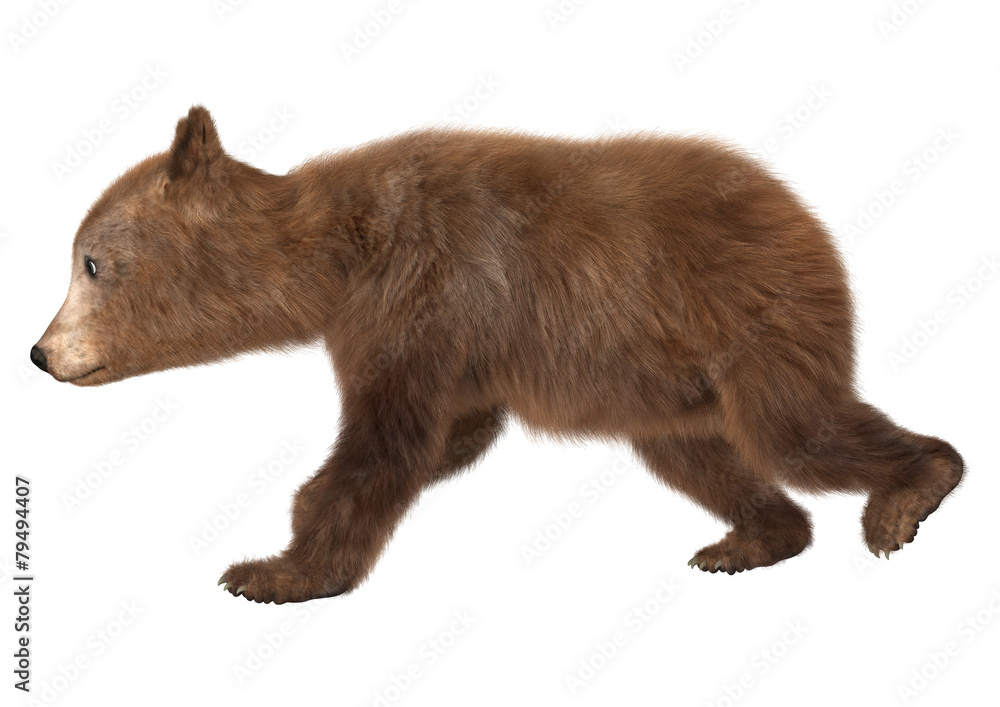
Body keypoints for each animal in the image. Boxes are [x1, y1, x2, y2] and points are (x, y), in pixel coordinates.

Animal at [31, 106, 963, 604]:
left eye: (91, 262)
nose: (41, 352)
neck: (336, 257)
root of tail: (809, 222)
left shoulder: (422, 288)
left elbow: (386, 442)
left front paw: (272, 569)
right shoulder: (449, 333)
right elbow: (453, 431)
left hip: (753, 321)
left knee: (797, 430)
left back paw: (910, 492)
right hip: (667, 384)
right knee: (699, 454)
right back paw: (751, 538)